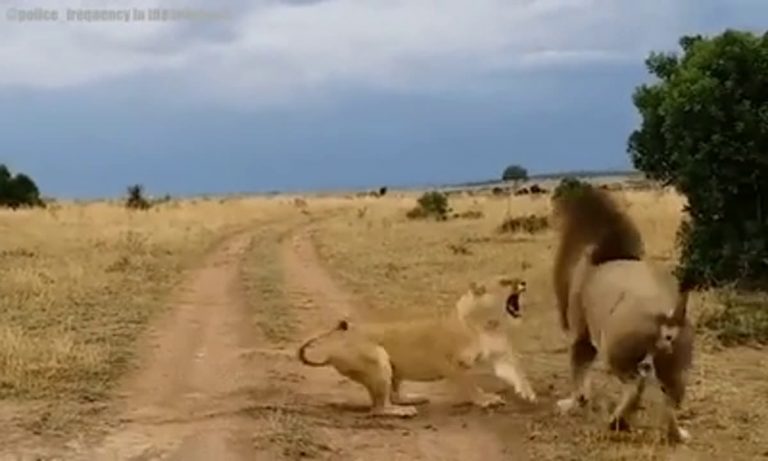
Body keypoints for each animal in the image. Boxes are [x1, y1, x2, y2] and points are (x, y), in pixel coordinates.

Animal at [297, 275, 536, 417]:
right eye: (505, 282)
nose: (523, 282)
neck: (489, 324)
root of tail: (332, 349)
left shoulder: (501, 353)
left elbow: (517, 371)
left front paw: (528, 393)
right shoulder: (450, 362)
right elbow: (470, 384)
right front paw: (485, 400)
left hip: (392, 369)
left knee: (392, 395)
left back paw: (413, 398)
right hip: (377, 360)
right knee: (378, 408)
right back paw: (402, 411)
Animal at [551, 184, 694, 443]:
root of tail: (670, 318)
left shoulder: (582, 336)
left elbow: (578, 371)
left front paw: (572, 403)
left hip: (615, 351)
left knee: (636, 385)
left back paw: (617, 422)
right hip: (676, 368)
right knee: (670, 402)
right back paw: (677, 435)